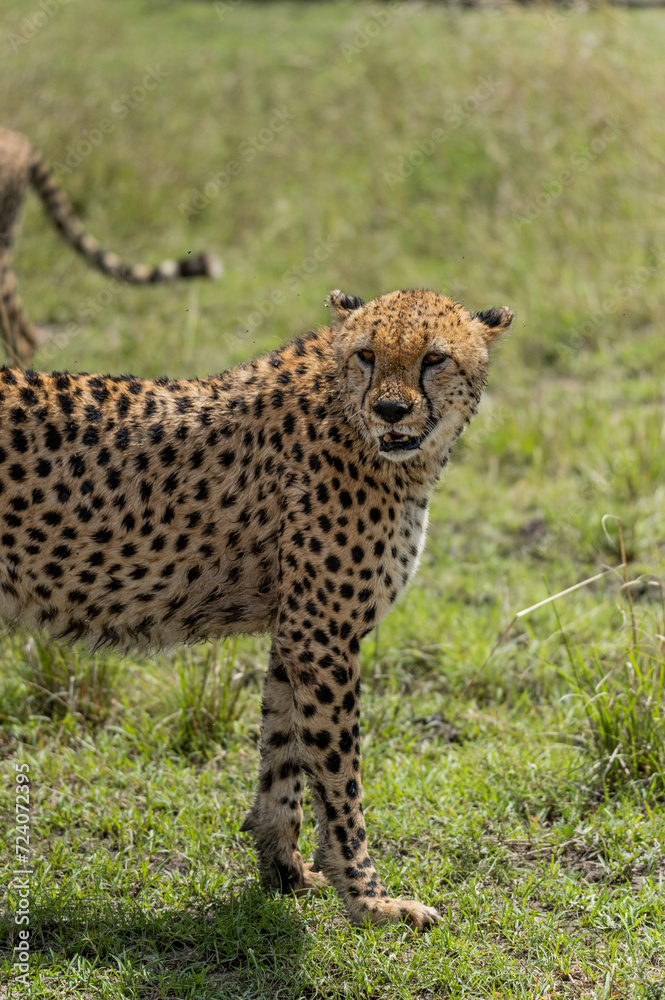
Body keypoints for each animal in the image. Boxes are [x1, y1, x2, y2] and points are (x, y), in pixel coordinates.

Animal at [0, 287, 512, 930]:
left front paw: (287, 873)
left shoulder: (297, 632)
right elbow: (340, 778)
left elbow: (283, 755)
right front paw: (371, 900)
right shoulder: (320, 633)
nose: (391, 410)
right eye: (368, 354)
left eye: (434, 358)